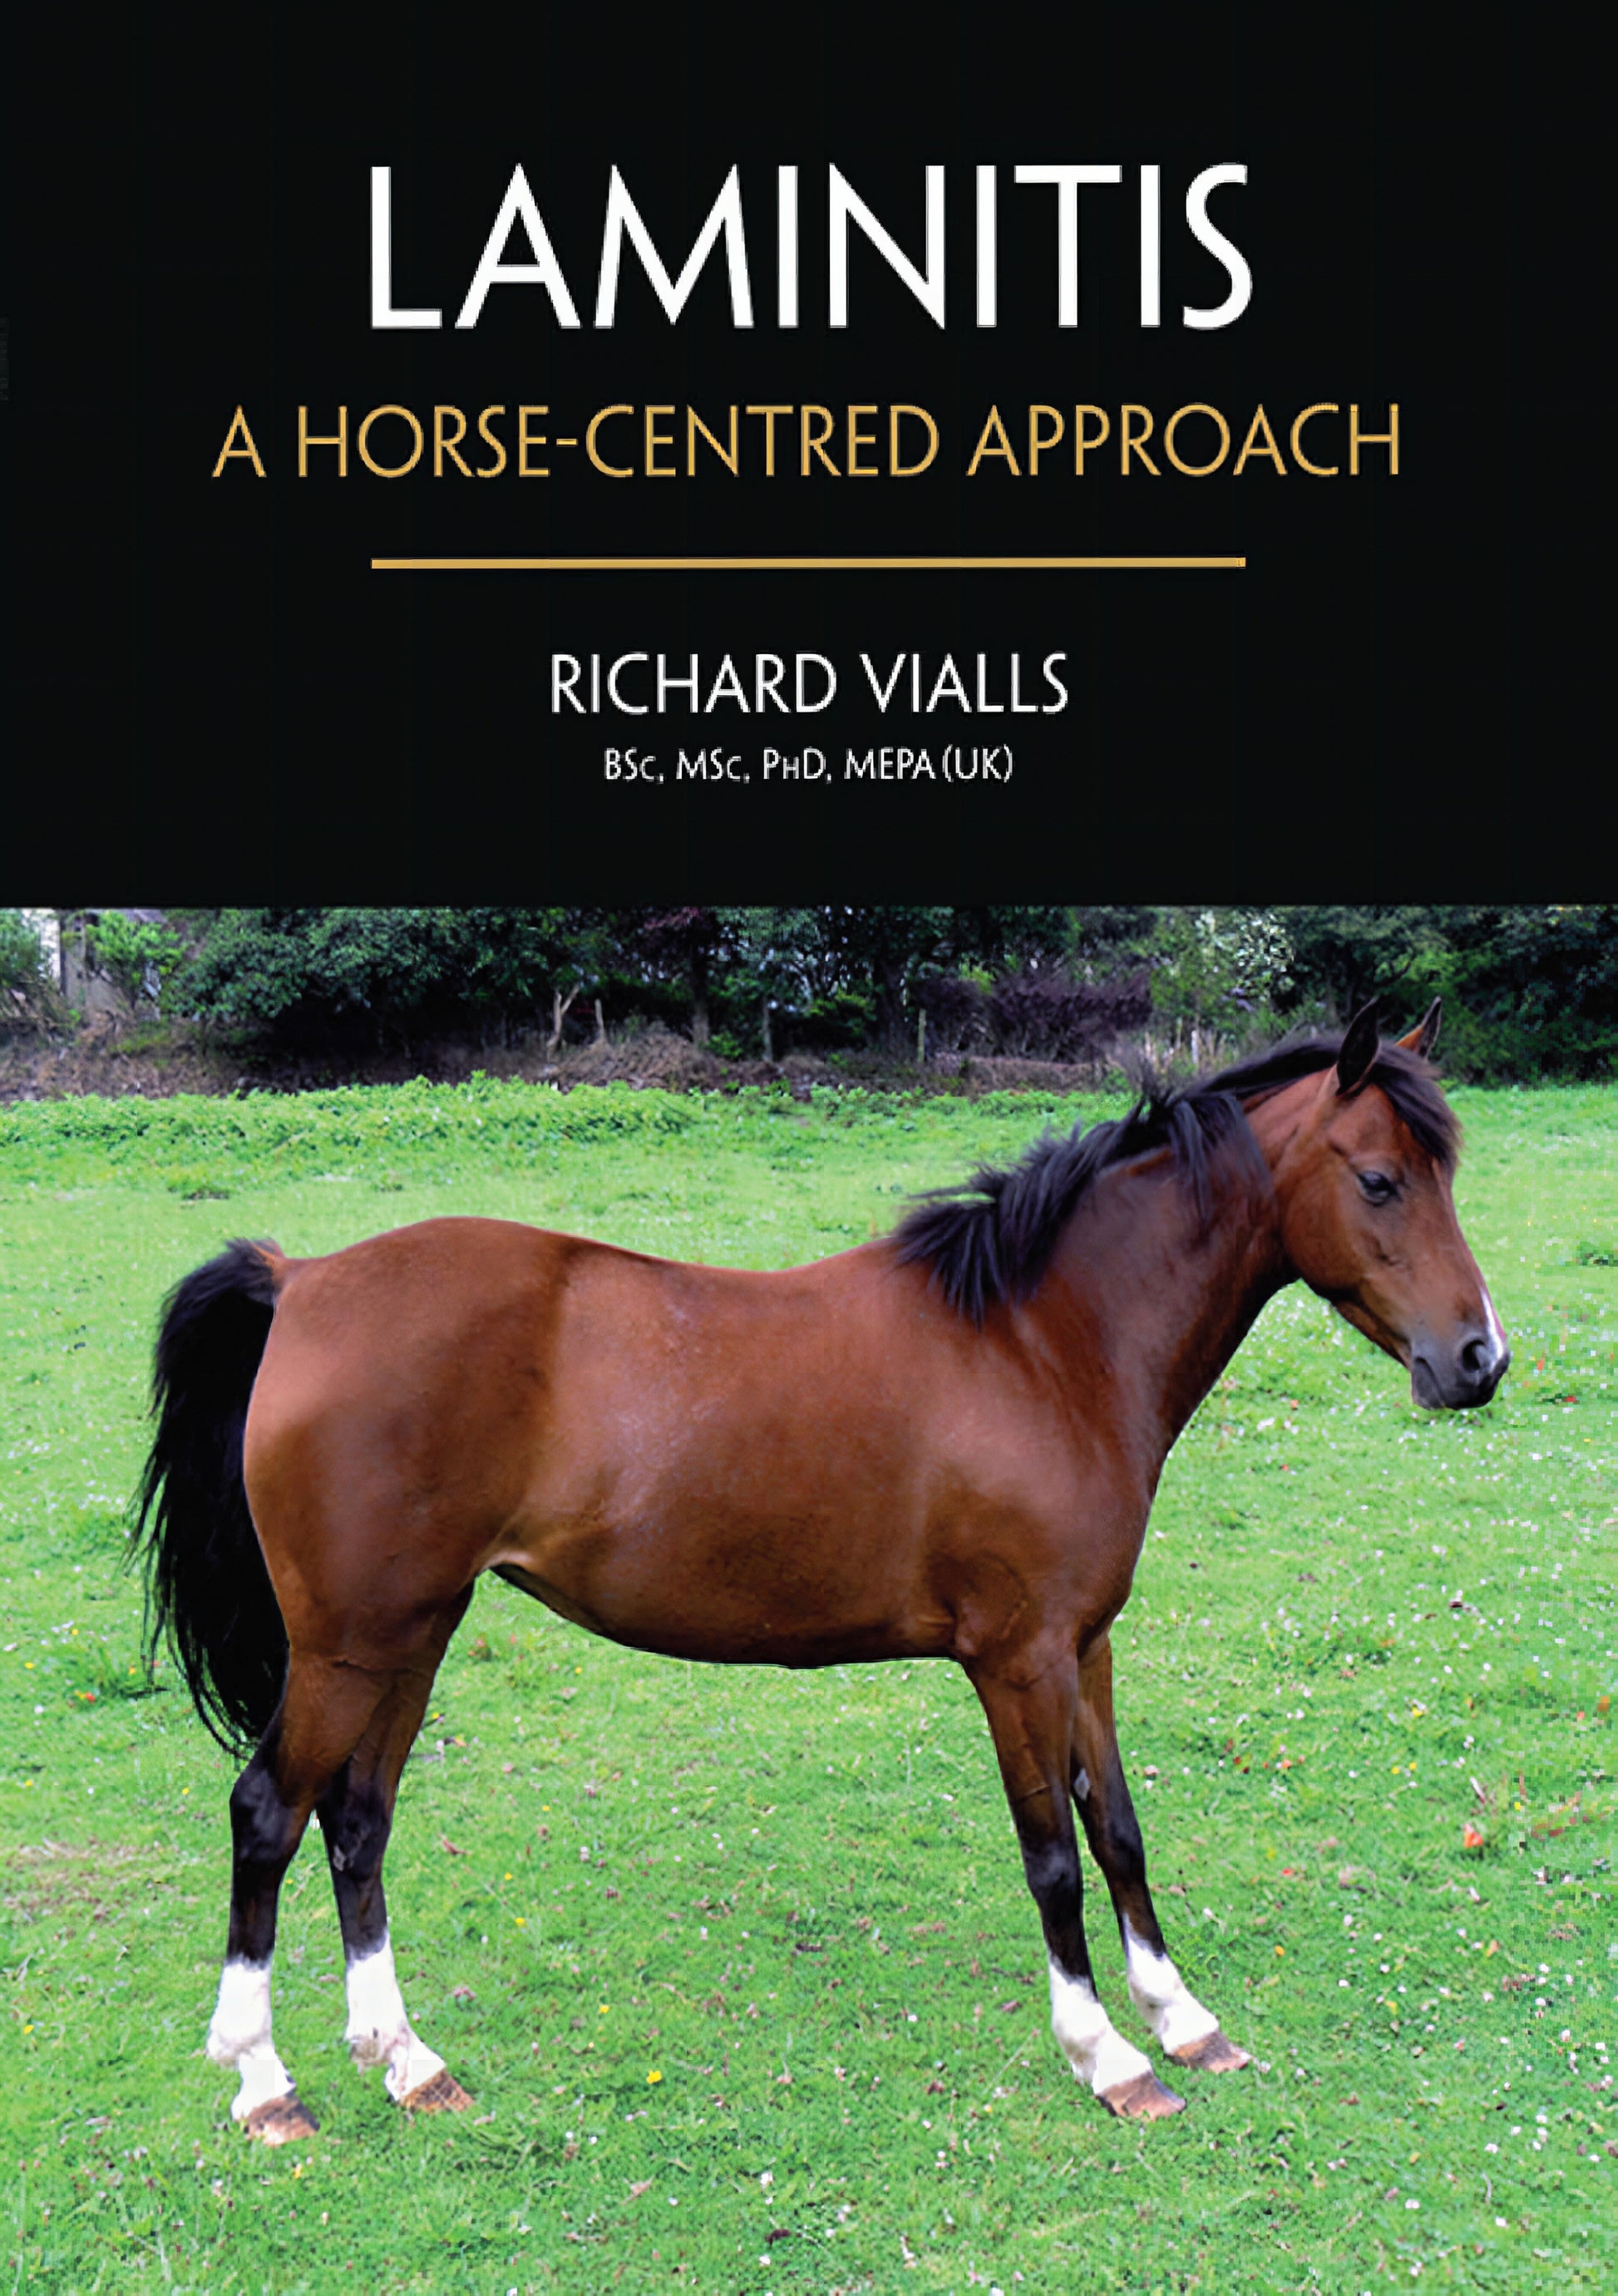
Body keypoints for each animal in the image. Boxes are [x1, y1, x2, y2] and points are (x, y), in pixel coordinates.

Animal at [135, 999, 1508, 2143]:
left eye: (1445, 1172)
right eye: (1378, 1178)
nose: (1477, 1359)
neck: (1041, 1343)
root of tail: (304, 1279)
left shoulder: (1087, 1643)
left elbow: (1116, 1825)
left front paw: (1183, 2018)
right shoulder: (1016, 1659)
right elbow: (1051, 1854)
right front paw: (1108, 2055)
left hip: (409, 1631)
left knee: (358, 1816)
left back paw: (405, 2055)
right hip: (349, 1643)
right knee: (267, 1813)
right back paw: (264, 2081)